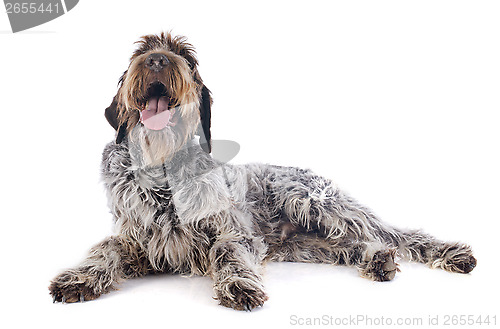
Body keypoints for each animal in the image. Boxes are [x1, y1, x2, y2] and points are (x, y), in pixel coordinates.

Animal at [49, 33, 476, 310]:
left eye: (186, 58)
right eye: (141, 52)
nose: (157, 60)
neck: (164, 173)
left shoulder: (235, 233)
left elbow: (226, 250)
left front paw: (238, 284)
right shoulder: (138, 240)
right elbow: (106, 249)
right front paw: (80, 277)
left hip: (311, 200)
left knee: (396, 234)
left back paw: (446, 253)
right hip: (304, 245)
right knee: (354, 246)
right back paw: (377, 260)